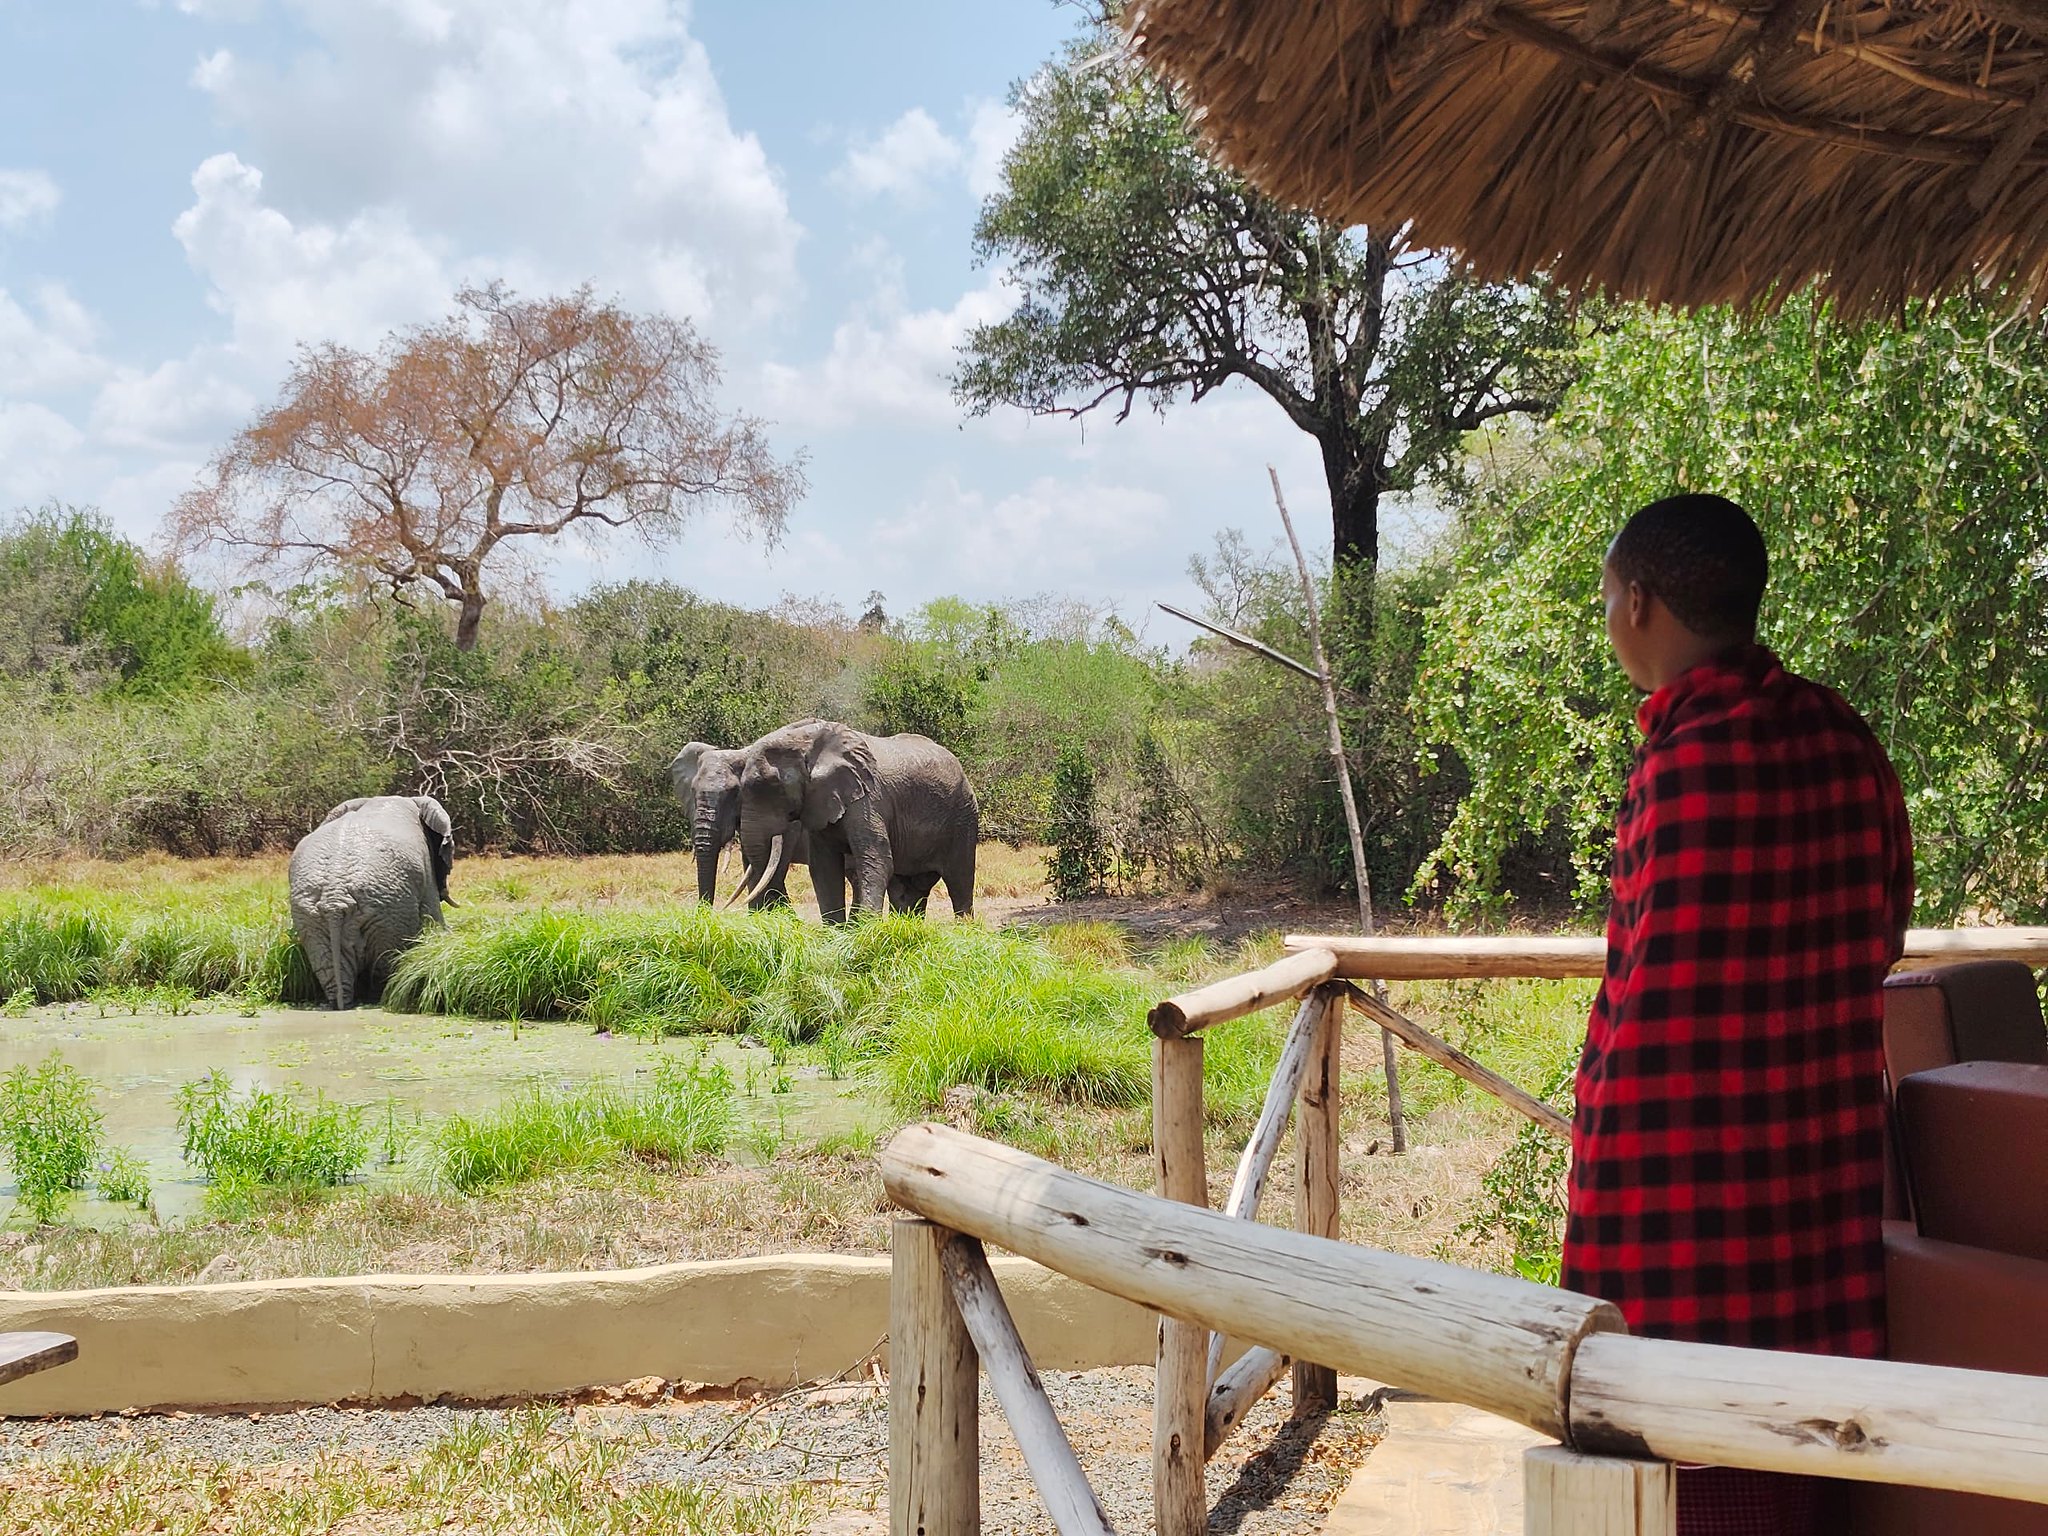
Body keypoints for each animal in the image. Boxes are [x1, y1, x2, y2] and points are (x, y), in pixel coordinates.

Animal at [288, 795, 455, 1010]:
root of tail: (335, 897)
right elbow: (434, 916)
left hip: (310, 916)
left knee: (327, 965)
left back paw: (342, 1003)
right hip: (389, 908)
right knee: (385, 961)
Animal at [735, 720, 977, 922]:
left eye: (775, 787)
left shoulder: (868, 799)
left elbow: (877, 860)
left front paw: (867, 931)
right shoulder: (819, 803)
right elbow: (824, 868)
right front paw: (836, 934)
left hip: (962, 816)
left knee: (959, 879)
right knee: (906, 889)